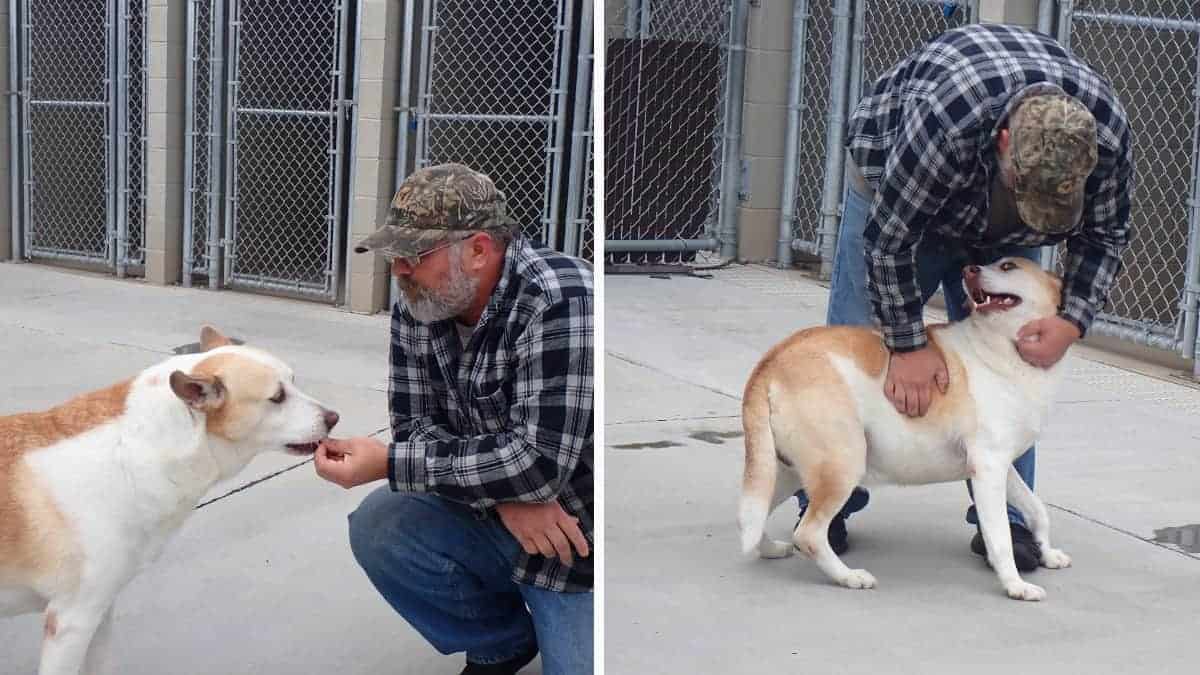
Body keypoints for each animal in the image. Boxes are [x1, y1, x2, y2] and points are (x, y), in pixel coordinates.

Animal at [2, 324, 340, 667]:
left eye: (294, 381)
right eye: (277, 397)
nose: (334, 418)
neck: (132, 454)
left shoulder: (100, 612)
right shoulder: (72, 621)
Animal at [734, 255, 1075, 598]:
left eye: (1008, 266)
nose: (969, 270)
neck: (1003, 347)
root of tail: (772, 360)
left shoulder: (1003, 467)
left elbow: (1036, 509)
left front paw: (1047, 553)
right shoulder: (988, 467)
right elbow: (1000, 537)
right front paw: (1015, 585)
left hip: (784, 472)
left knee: (752, 516)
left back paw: (771, 549)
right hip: (843, 463)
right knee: (809, 534)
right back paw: (848, 576)